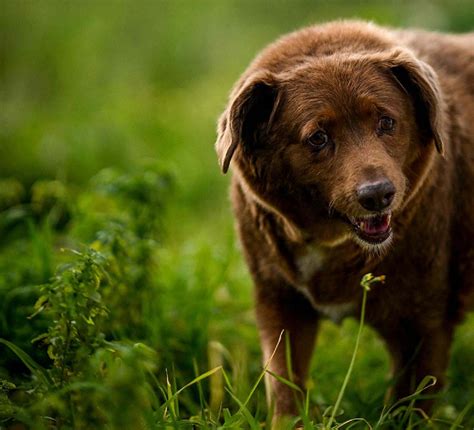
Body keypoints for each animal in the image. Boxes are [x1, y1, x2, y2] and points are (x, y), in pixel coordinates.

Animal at [216, 20, 474, 416]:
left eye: (387, 122)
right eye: (318, 138)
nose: (377, 194)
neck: (331, 244)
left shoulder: (425, 322)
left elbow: (410, 406)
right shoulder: (280, 304)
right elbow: (284, 390)